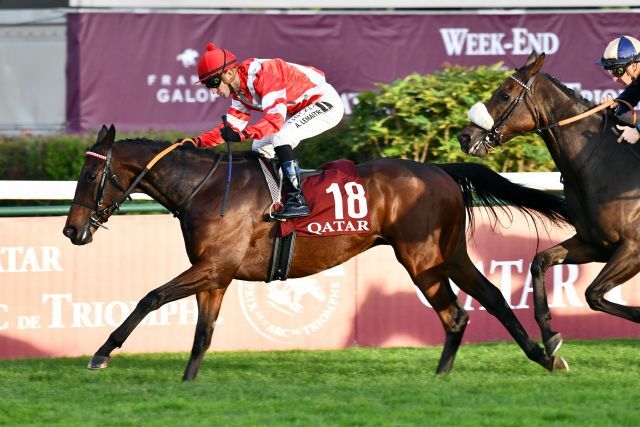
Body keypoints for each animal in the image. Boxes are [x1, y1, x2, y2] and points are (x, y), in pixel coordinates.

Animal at [62, 124, 568, 382]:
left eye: (89, 176)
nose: (71, 230)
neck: (203, 189)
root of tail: (439, 170)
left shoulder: (212, 267)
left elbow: (150, 297)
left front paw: (101, 353)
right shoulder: (215, 275)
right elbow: (202, 334)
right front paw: (187, 383)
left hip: (422, 259)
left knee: (456, 313)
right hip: (450, 253)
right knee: (487, 300)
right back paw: (540, 356)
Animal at [458, 51, 640, 362]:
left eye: (504, 95)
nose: (465, 137)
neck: (605, 166)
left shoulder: (632, 248)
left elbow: (593, 294)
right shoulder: (595, 245)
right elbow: (540, 262)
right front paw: (549, 338)